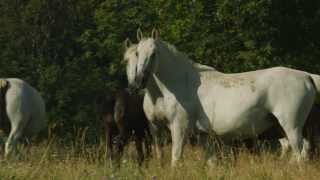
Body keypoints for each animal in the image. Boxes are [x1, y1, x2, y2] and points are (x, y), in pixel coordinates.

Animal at [125, 28, 320, 167]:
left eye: (153, 54)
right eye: (137, 53)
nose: (138, 82)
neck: (180, 82)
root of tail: (306, 76)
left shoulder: (179, 127)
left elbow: (176, 158)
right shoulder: (202, 135)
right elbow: (211, 162)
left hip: (291, 126)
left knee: (300, 152)